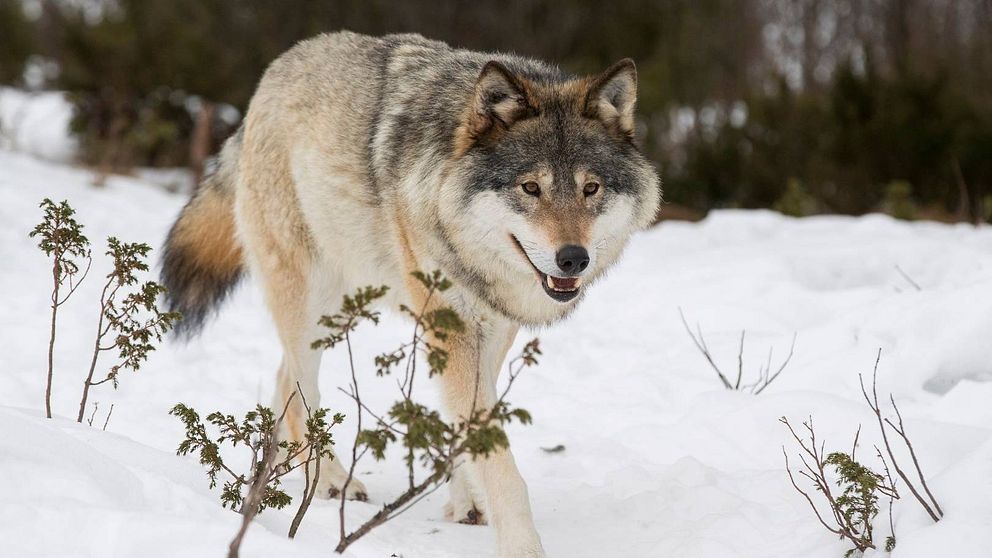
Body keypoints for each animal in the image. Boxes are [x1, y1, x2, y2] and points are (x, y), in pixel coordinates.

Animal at [161, 31, 660, 558]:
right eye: (530, 188)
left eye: (591, 188)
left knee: (282, 380)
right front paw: (523, 547)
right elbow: (499, 462)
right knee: (300, 389)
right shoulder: (454, 329)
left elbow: (469, 428)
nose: (573, 259)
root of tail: (278, 69)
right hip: (312, 305)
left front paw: (466, 502)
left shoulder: (492, 330)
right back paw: (329, 481)